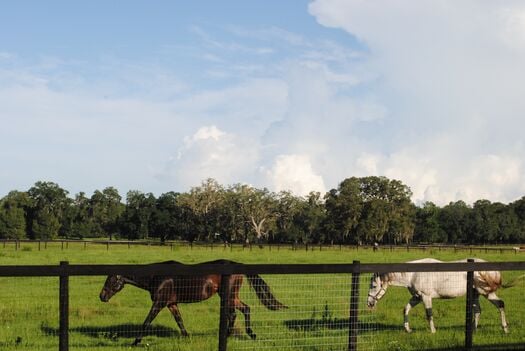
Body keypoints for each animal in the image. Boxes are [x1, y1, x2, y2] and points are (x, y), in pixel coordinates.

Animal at [99, 262, 286, 346]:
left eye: (112, 279)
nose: (102, 296)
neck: (157, 277)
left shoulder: (159, 303)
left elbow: (146, 322)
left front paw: (135, 342)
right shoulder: (172, 304)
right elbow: (179, 321)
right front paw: (187, 337)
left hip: (228, 296)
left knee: (234, 313)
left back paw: (231, 335)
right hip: (231, 296)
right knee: (245, 309)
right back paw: (248, 334)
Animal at [364, 260, 508, 334]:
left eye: (374, 286)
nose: (369, 303)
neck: (413, 274)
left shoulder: (426, 297)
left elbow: (429, 314)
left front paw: (433, 331)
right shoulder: (417, 297)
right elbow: (406, 310)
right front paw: (408, 329)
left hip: (486, 293)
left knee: (500, 304)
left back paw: (505, 328)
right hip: (475, 294)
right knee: (478, 311)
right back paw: (473, 330)